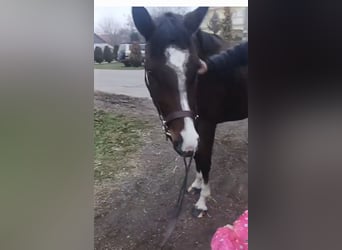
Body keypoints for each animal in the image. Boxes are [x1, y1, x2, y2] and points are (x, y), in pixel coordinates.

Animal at [132, 6, 247, 218]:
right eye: (151, 72)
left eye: (196, 70)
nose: (182, 140)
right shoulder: (195, 127)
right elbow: (197, 159)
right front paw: (197, 185)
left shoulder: (206, 125)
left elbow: (204, 159)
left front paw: (202, 202)